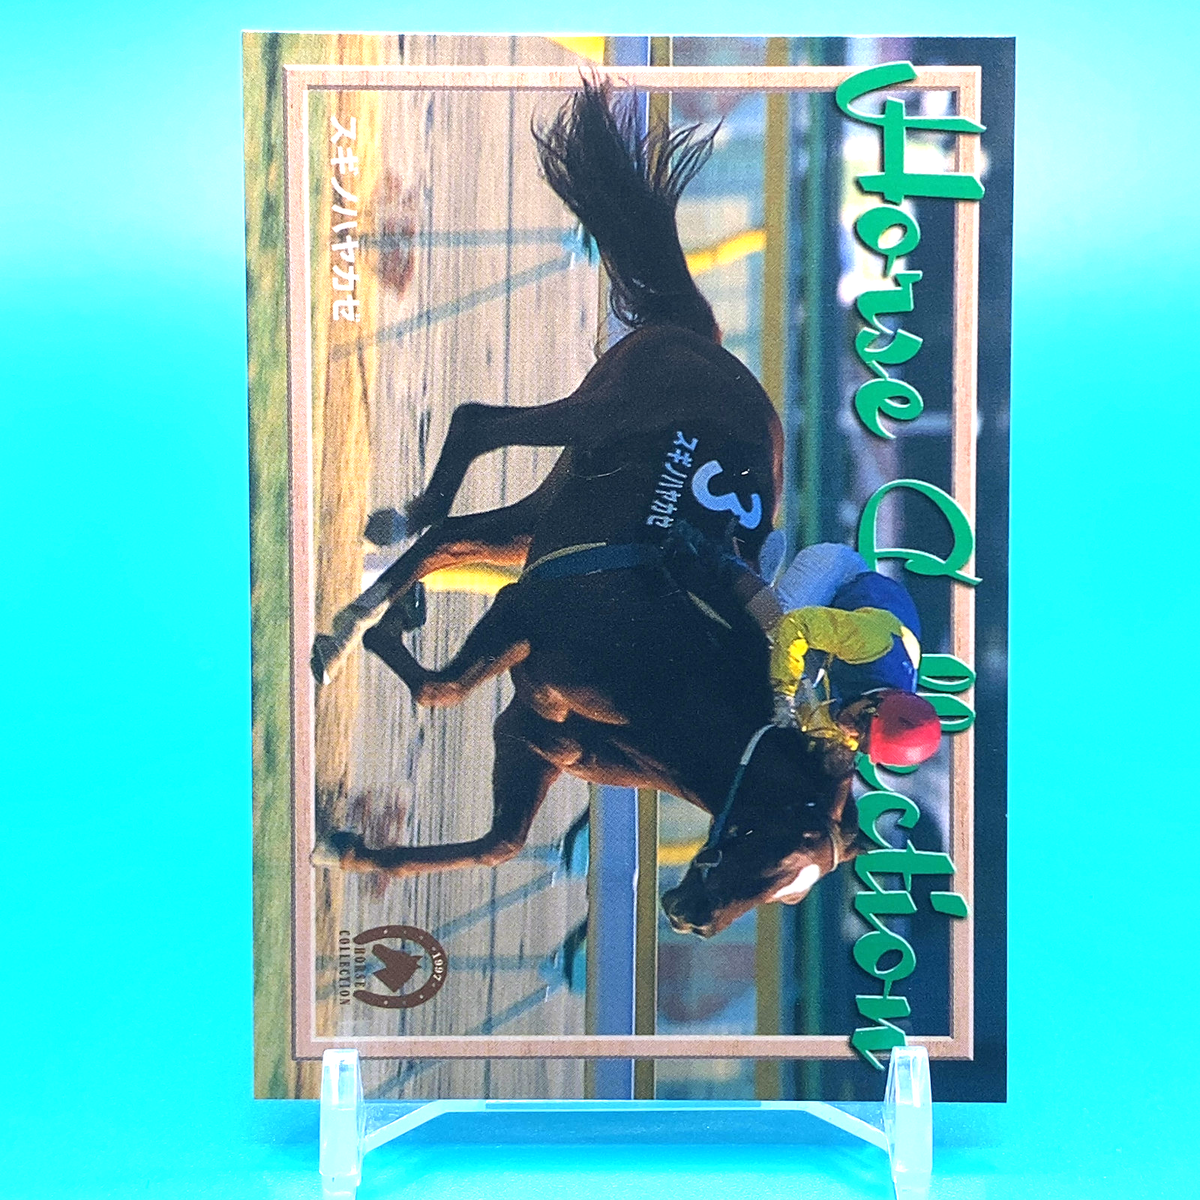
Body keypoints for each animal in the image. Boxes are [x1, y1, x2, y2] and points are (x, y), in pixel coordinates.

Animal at [311, 80, 874, 937]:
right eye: (774, 841)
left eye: (794, 885)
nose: (693, 917)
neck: (671, 687)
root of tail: (703, 333)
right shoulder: (525, 619)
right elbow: (443, 689)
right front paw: (366, 634)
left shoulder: (536, 732)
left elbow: (497, 844)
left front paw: (344, 848)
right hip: (585, 418)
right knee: (478, 424)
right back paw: (368, 591)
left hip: (546, 515)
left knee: (454, 536)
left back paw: (395, 568)